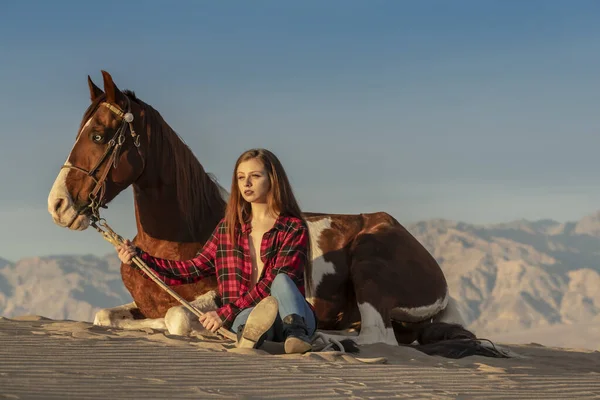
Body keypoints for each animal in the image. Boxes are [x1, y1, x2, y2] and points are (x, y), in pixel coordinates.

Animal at [48, 70, 506, 358]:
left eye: (99, 135)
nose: (58, 205)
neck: (178, 237)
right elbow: (104, 316)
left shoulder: (208, 299)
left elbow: (179, 318)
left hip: (370, 263)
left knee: (379, 338)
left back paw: (328, 340)